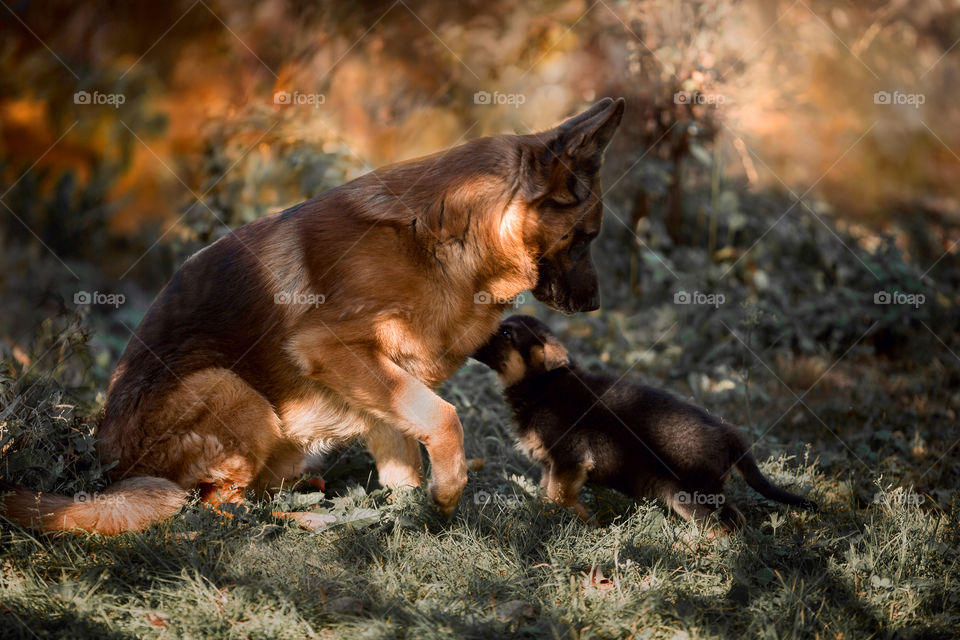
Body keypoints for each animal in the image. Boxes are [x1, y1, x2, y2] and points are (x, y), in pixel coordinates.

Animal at [1, 97, 624, 532]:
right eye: (588, 237)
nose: (595, 303)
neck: (448, 234)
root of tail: (109, 471)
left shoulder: (384, 377)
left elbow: (403, 452)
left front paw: (410, 516)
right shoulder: (335, 349)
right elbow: (443, 416)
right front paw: (447, 493)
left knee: (242, 495)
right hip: (232, 391)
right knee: (214, 507)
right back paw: (300, 519)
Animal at [472, 316, 816, 528]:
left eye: (506, 333)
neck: (542, 384)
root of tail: (729, 433)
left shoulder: (570, 458)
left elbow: (559, 497)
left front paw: (581, 522)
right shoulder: (553, 465)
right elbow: (548, 493)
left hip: (688, 494)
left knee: (718, 525)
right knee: (734, 518)